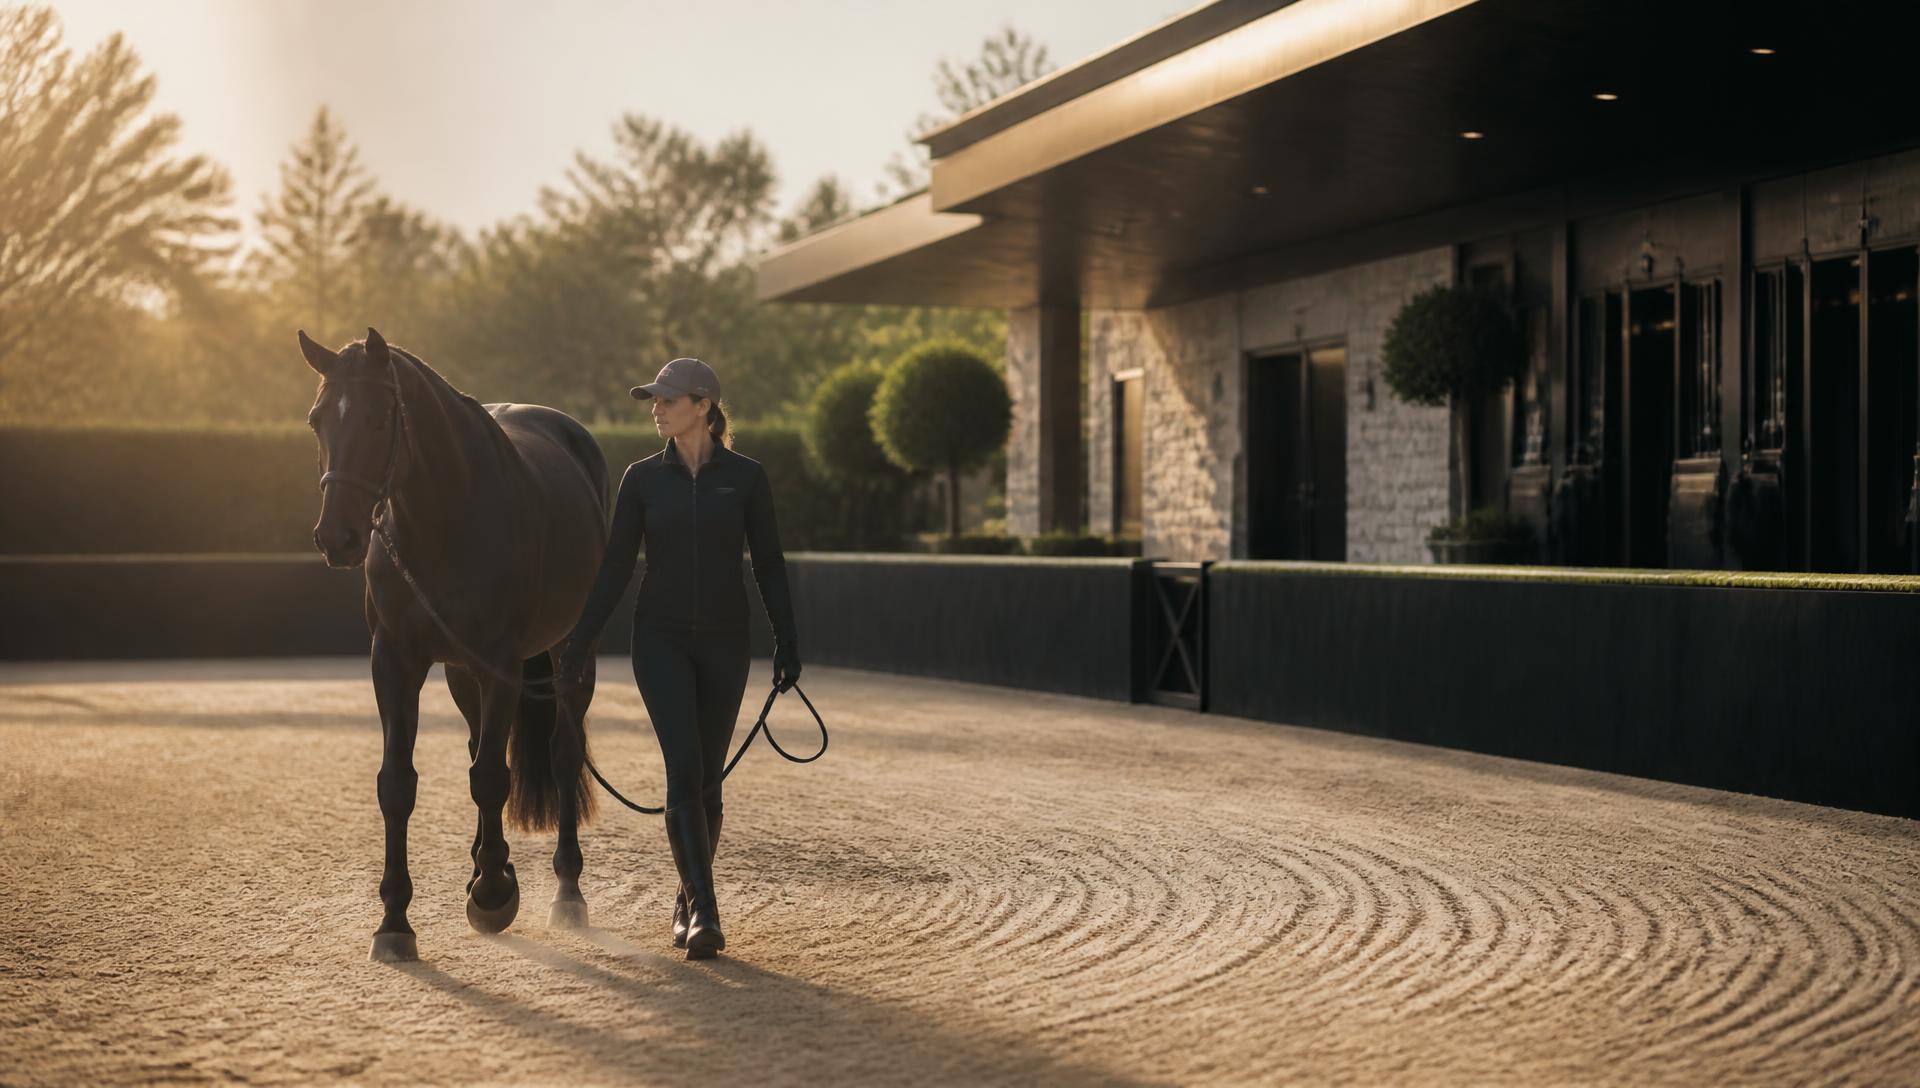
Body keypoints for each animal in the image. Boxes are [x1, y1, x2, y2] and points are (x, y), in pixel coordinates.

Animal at [301, 326, 606, 962]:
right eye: (318, 419)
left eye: (377, 418)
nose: (337, 536)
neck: (441, 523)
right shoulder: (395, 662)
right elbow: (399, 784)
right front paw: (395, 920)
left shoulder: (501, 664)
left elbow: (491, 776)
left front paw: (492, 895)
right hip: (463, 673)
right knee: (478, 748)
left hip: (572, 655)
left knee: (562, 756)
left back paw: (565, 890)